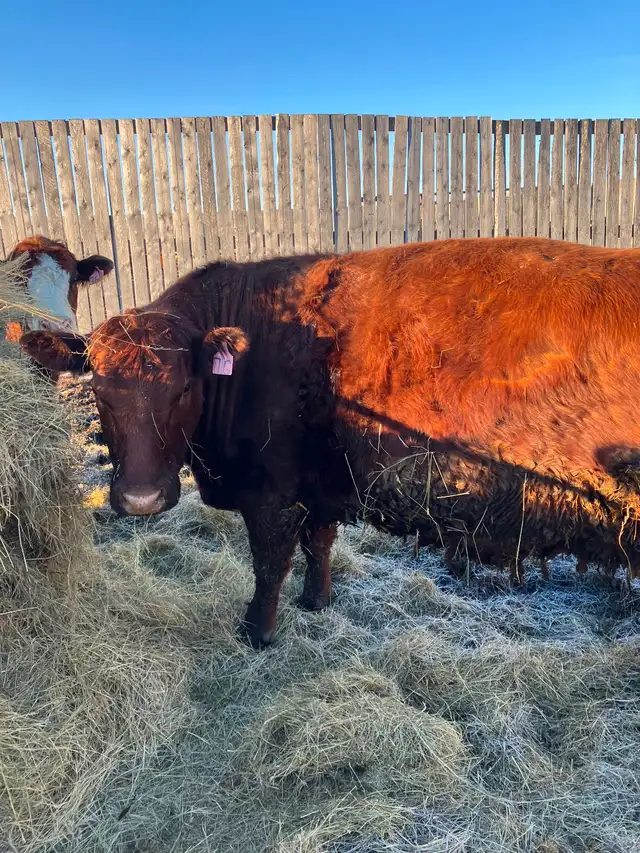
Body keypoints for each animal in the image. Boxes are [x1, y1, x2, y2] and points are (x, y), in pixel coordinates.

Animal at [19, 238, 640, 647]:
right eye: (97, 387)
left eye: (184, 387)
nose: (142, 500)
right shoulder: (319, 483)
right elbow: (319, 545)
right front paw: (316, 603)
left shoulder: (269, 492)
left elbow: (271, 562)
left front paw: (257, 632)